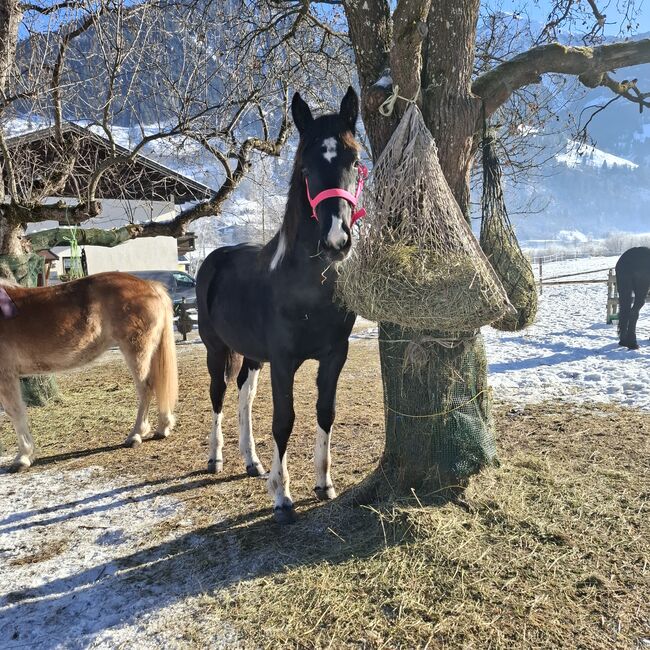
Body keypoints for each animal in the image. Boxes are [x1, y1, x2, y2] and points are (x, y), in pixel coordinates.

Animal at [0, 270, 177, 468]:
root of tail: (150, 286)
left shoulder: (5, 376)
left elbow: (15, 412)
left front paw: (23, 457)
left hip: (137, 350)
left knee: (146, 389)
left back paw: (136, 434)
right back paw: (163, 427)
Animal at [192, 87, 364, 520]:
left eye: (354, 161)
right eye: (305, 166)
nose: (337, 241)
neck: (308, 285)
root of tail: (216, 258)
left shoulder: (335, 355)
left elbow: (325, 412)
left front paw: (324, 483)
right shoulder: (284, 361)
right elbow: (284, 419)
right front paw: (282, 496)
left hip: (252, 355)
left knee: (244, 393)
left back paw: (251, 460)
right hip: (216, 348)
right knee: (219, 393)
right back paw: (216, 458)